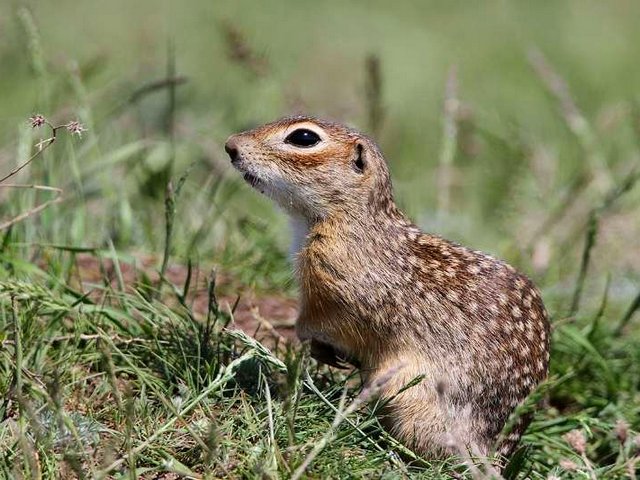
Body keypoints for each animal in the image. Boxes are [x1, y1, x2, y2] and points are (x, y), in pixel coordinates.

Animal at [225, 114, 552, 460]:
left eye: (303, 138)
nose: (230, 145)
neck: (349, 219)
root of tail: (497, 453)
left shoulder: (337, 292)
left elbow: (320, 324)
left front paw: (316, 347)